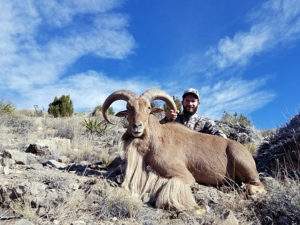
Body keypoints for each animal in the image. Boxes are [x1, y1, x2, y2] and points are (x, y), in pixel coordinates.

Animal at [102, 89, 266, 215]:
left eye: (148, 108)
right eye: (128, 107)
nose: (137, 126)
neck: (156, 140)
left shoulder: (183, 175)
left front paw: (199, 208)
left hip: (243, 164)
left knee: (257, 186)